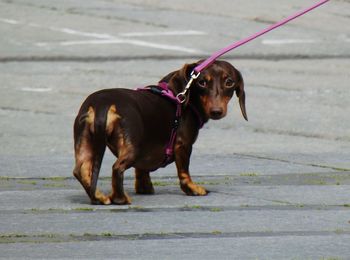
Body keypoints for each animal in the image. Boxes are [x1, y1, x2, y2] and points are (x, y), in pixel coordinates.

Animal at [72, 60, 246, 204]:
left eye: (229, 82)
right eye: (201, 82)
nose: (216, 111)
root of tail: (103, 105)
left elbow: (141, 170)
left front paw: (144, 188)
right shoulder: (183, 145)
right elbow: (184, 171)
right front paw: (193, 189)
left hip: (85, 142)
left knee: (80, 171)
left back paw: (99, 197)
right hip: (131, 147)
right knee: (117, 168)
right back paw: (120, 199)